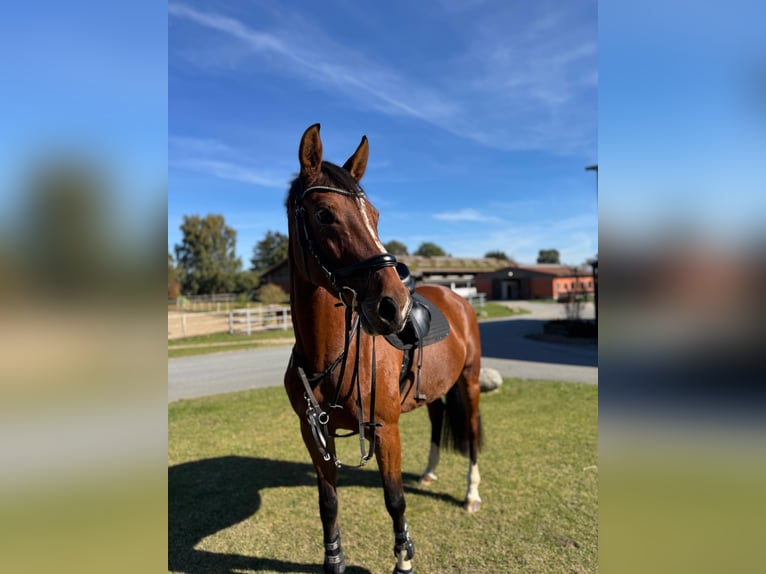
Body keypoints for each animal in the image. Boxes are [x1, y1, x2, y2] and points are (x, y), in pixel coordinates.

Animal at [283, 124, 483, 574]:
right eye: (324, 214)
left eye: (374, 216)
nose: (396, 307)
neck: (329, 357)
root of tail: (458, 298)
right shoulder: (313, 432)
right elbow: (328, 504)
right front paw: (334, 562)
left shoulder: (385, 430)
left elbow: (395, 501)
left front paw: (403, 561)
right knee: (437, 421)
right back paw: (429, 473)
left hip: (470, 382)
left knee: (473, 433)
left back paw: (471, 494)